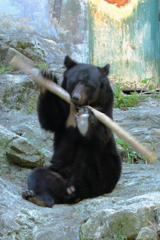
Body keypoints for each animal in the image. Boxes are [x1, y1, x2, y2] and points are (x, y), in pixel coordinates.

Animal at [22, 55, 121, 206]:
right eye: (73, 82)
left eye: (88, 85)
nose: (76, 97)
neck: (77, 107)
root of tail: (74, 190)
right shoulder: (65, 109)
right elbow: (51, 119)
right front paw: (47, 80)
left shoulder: (104, 108)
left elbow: (103, 133)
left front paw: (85, 119)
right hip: (58, 175)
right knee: (38, 175)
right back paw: (36, 197)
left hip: (107, 170)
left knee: (98, 155)